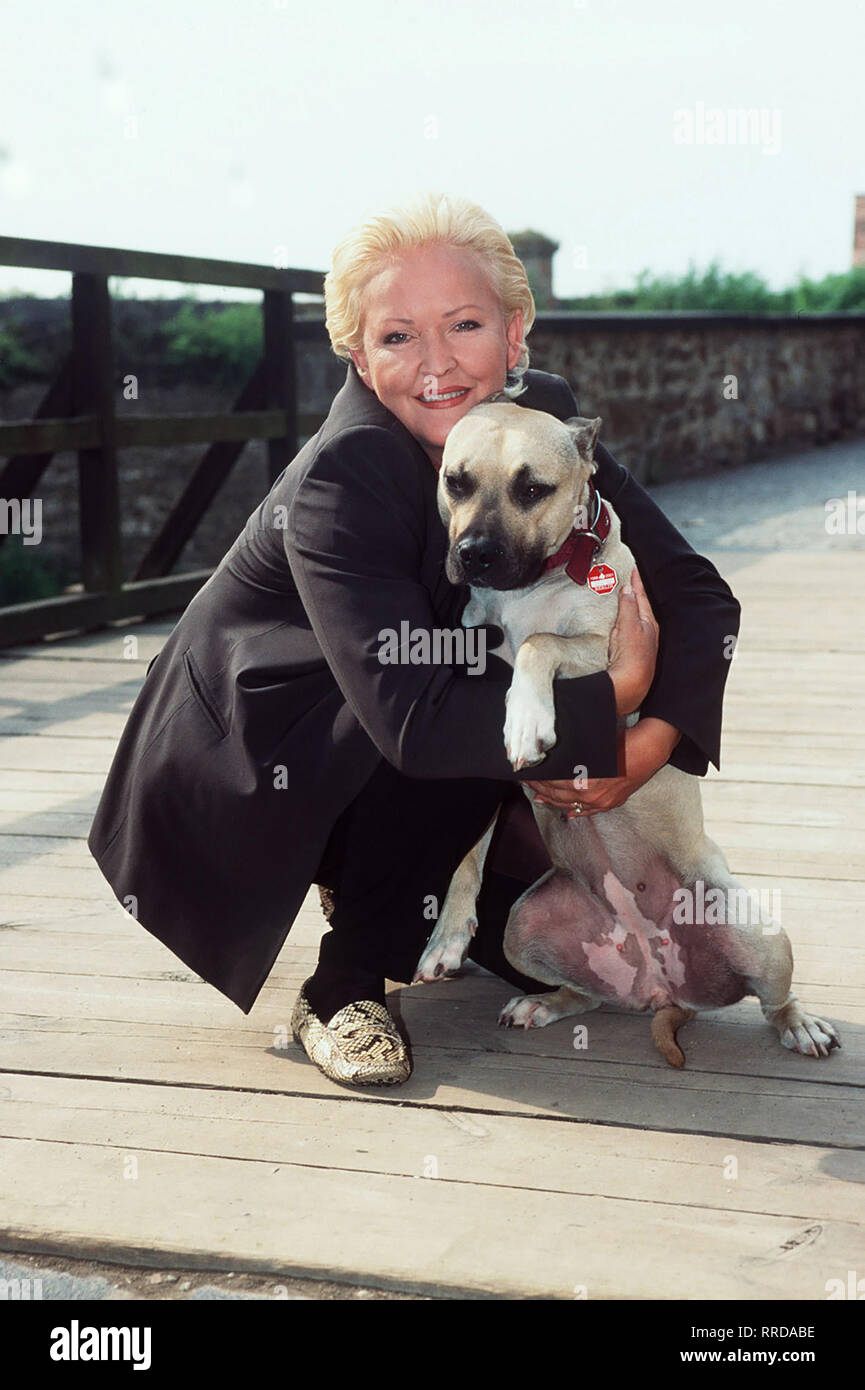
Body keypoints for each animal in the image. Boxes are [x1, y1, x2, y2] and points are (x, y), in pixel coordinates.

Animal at [414, 403, 839, 1061]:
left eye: (531, 489)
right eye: (456, 482)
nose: (475, 552)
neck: (532, 586)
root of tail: (660, 986)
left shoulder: (605, 658)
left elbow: (540, 643)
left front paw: (528, 719)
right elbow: (466, 850)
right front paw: (446, 937)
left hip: (758, 929)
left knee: (775, 998)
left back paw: (800, 1024)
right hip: (523, 926)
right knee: (588, 994)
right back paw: (545, 1002)